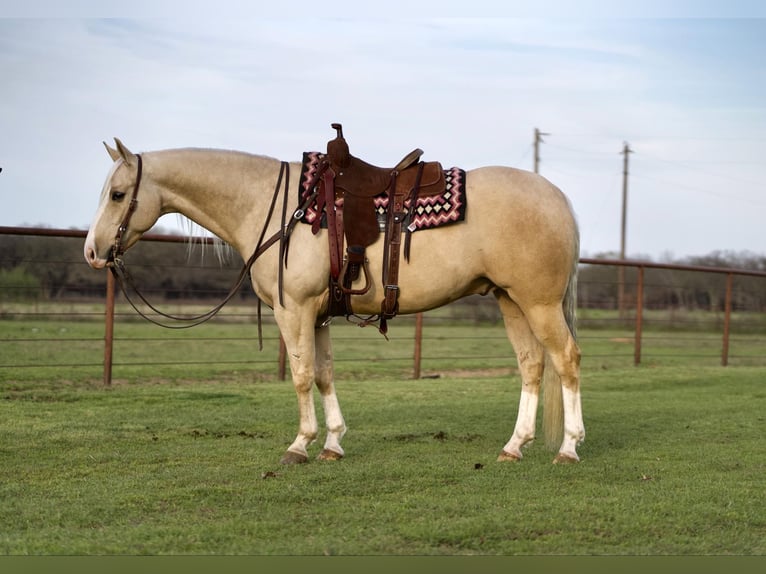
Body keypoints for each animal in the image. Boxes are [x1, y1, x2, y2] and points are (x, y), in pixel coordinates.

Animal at [84, 140, 584, 468]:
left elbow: (302, 376)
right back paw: (514, 446)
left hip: (539, 303)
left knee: (566, 360)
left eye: (117, 194)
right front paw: (332, 443)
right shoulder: (319, 315)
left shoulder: (295, 311)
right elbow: (324, 374)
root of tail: (557, 197)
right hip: (511, 301)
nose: (92, 251)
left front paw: (299, 446)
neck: (274, 206)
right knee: (532, 365)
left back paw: (568, 448)